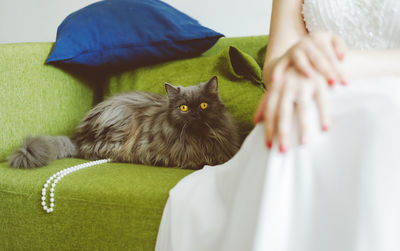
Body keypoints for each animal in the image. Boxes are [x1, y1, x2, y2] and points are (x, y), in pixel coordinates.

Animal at [8, 76, 241, 170]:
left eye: (203, 105)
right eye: (183, 108)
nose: (194, 114)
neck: (199, 139)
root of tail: (79, 136)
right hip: (119, 124)